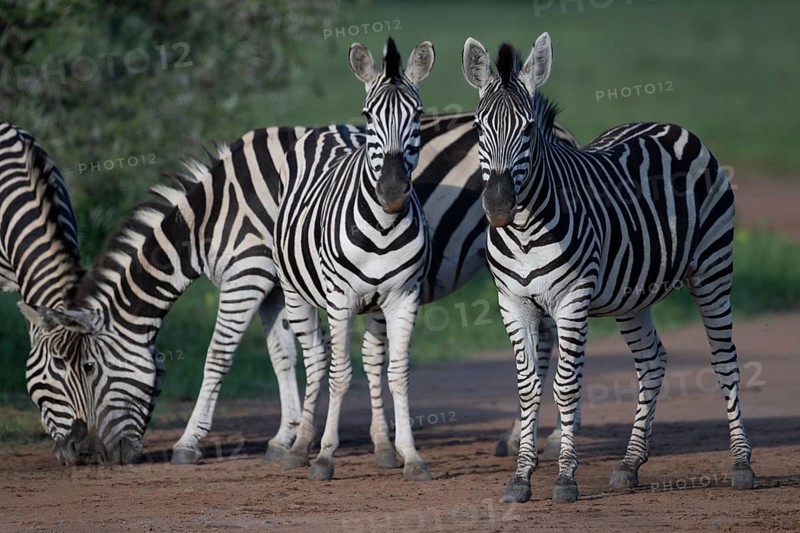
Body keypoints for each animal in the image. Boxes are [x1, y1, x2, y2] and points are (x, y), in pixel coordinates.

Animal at [274, 38, 437, 481]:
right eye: (369, 114)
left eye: (418, 114)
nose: (393, 191)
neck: (382, 227)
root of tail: (331, 127)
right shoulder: (340, 299)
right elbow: (339, 375)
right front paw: (325, 457)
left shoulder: (403, 297)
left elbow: (397, 373)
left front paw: (410, 455)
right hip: (296, 294)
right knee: (316, 362)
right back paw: (300, 447)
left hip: (377, 307)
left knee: (372, 360)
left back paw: (382, 447)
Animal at [461, 34, 755, 503]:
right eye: (477, 128)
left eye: (528, 129)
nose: (499, 206)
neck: (524, 232)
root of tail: (670, 126)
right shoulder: (513, 302)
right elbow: (528, 387)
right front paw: (521, 478)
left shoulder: (571, 300)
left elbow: (565, 386)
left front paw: (565, 478)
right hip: (633, 295)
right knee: (652, 361)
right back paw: (630, 464)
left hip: (713, 270)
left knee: (725, 360)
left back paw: (742, 463)